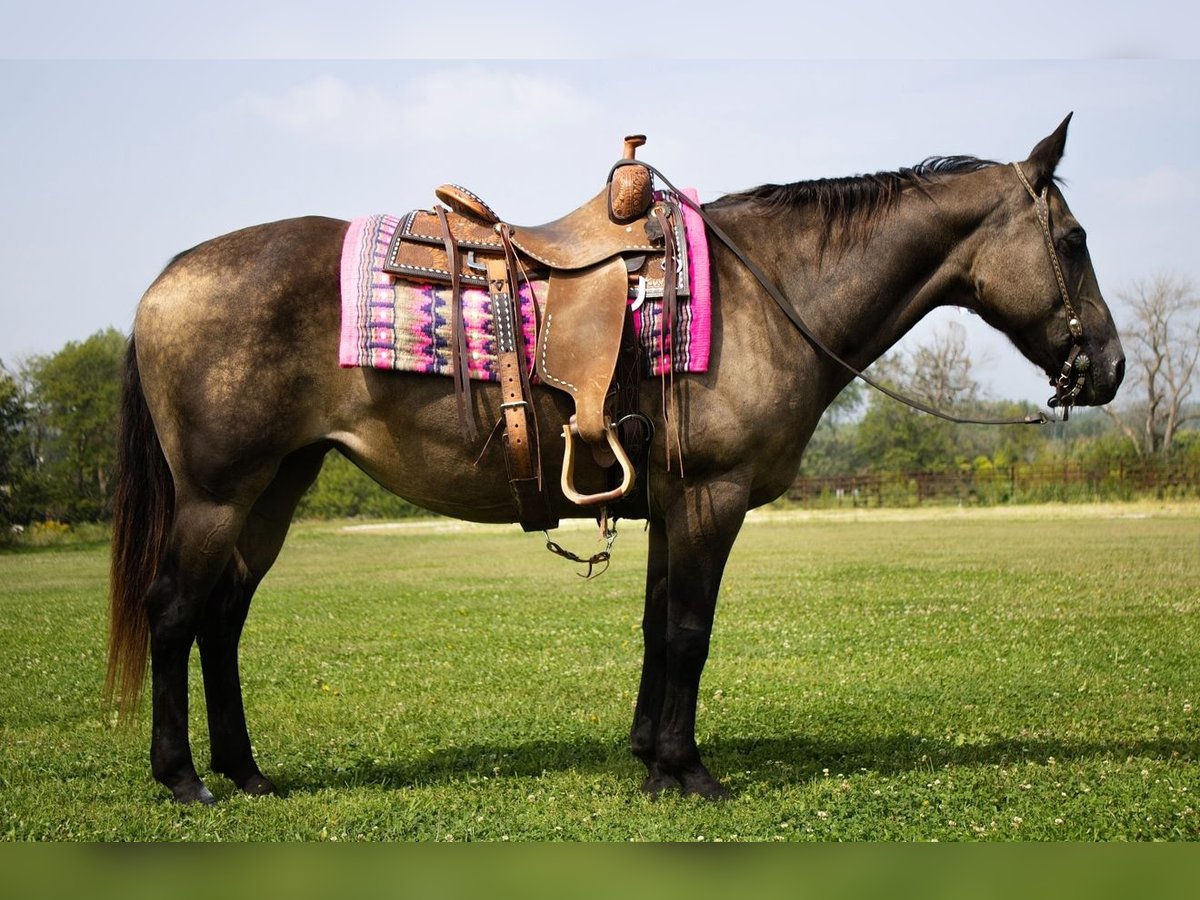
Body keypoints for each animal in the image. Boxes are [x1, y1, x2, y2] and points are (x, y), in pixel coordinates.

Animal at [107, 115, 1124, 804]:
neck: (768, 294)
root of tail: (165, 280)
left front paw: (648, 756)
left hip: (275, 489)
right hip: (216, 495)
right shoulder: (712, 501)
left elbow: (655, 627)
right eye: (1074, 240)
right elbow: (690, 632)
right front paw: (688, 770)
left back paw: (246, 771)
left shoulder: (671, 507)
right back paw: (183, 777)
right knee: (174, 613)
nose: (1109, 368)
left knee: (223, 620)